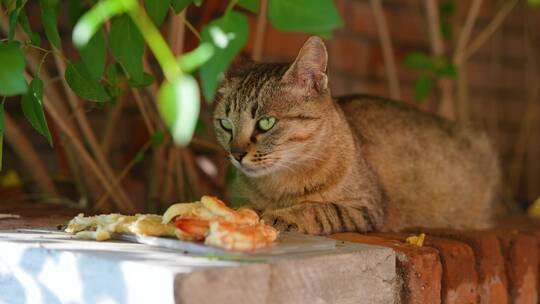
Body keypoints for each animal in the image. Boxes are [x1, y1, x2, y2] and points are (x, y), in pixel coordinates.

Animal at [212, 36, 502, 235]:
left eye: (266, 122)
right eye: (225, 124)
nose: (236, 154)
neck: (278, 187)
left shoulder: (367, 208)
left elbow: (320, 209)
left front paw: (284, 216)